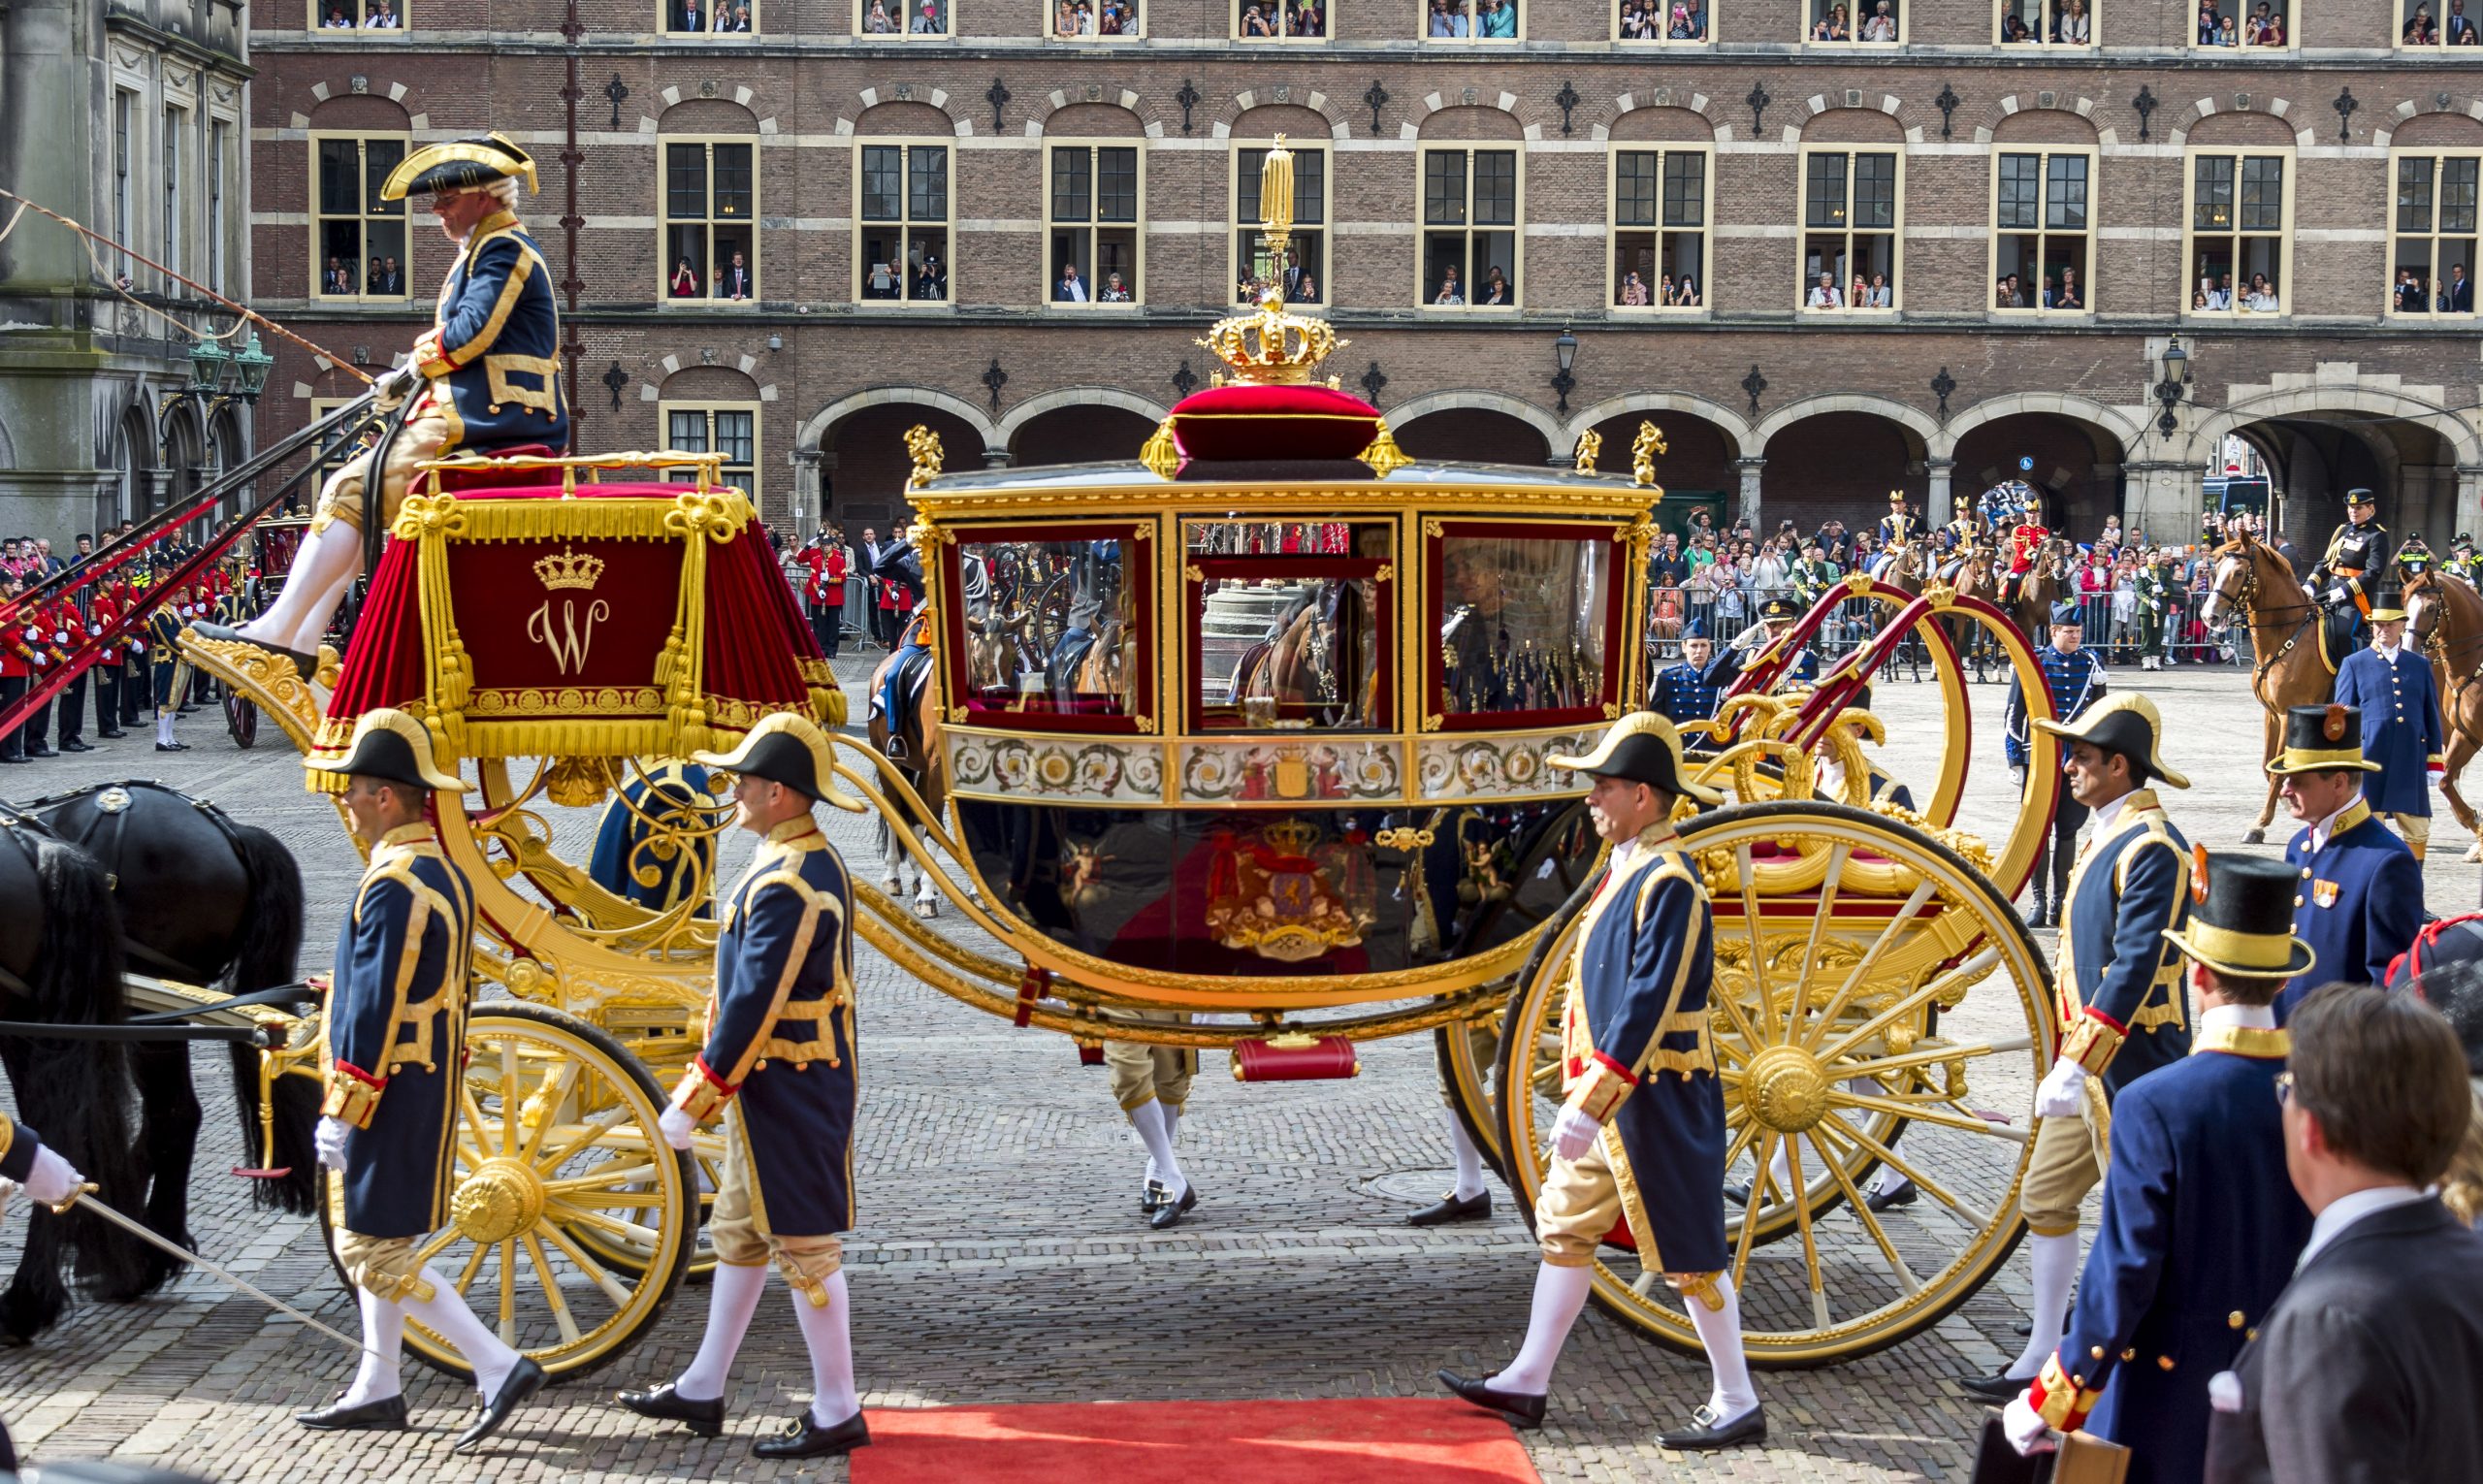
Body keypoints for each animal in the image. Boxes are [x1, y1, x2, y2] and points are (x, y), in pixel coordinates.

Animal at [2205, 531, 2334, 838]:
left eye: (2239, 572)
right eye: (2216, 569)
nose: (2209, 616)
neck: (2288, 635)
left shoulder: (2289, 714)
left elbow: (2279, 767)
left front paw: (2260, 824)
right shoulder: (2272, 715)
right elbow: (2268, 765)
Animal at [2403, 567, 2483, 858]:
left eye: (2429, 608)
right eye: (2405, 603)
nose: (2407, 648)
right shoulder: (2467, 734)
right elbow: (2445, 781)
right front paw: (2477, 828)